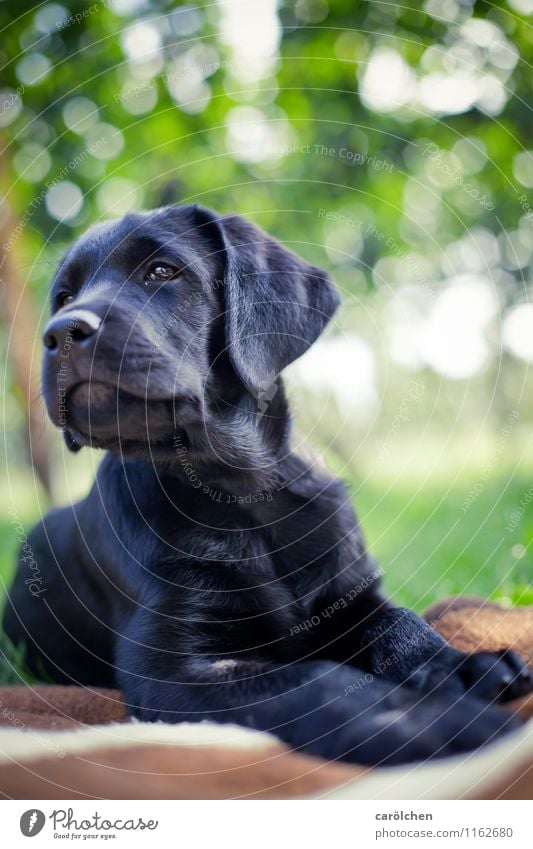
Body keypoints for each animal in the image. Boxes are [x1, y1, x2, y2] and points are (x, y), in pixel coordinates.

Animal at [3, 204, 528, 760]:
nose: (60, 333)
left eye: (162, 271)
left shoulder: (350, 595)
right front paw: (446, 726)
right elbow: (318, 681)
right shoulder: (170, 669)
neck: (242, 493)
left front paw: (462, 667)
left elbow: (403, 621)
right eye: (63, 298)